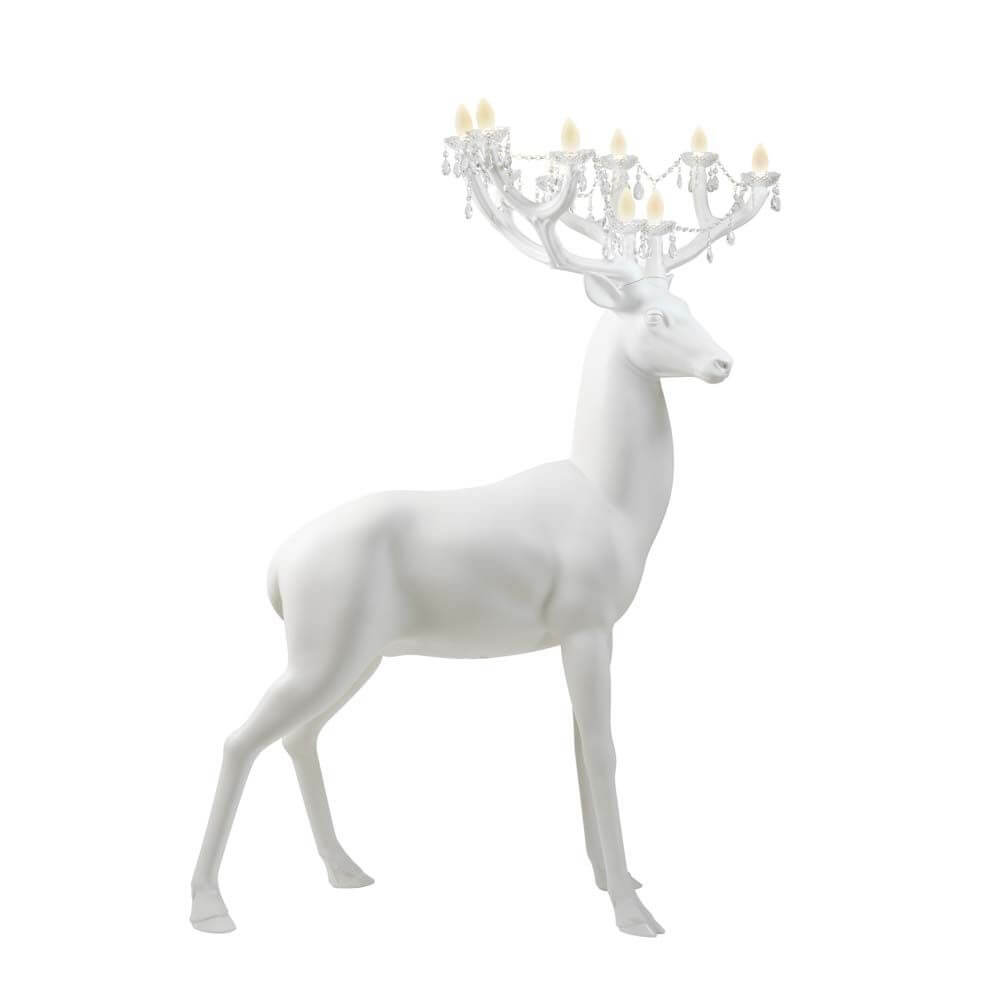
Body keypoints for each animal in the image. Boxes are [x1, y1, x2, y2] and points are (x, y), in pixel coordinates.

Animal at [191, 139, 777, 937]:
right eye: (658, 318)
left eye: (692, 306)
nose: (723, 362)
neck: (613, 502)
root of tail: (278, 570)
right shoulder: (588, 620)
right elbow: (603, 751)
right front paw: (633, 913)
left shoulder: (578, 632)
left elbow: (577, 750)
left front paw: (611, 877)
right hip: (321, 645)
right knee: (239, 738)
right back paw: (209, 905)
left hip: (358, 653)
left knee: (298, 736)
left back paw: (345, 869)